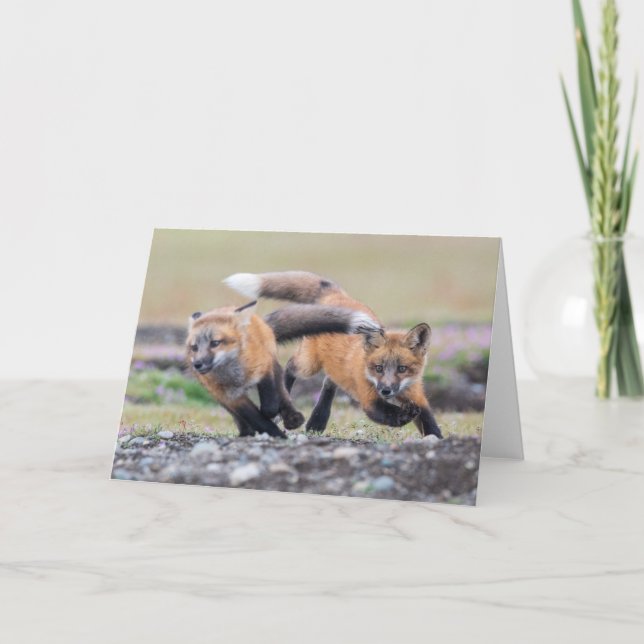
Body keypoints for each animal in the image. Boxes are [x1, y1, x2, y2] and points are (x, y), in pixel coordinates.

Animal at [187, 299, 380, 438]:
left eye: (215, 343)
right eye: (194, 347)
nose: (198, 364)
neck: (235, 374)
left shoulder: (264, 368)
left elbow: (270, 402)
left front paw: (273, 417)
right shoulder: (230, 397)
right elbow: (254, 417)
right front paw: (272, 433)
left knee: (285, 384)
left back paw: (293, 418)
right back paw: (247, 431)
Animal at [223, 271, 443, 438]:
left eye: (402, 368)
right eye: (378, 368)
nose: (386, 390)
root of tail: (338, 296)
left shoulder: (416, 395)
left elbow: (429, 423)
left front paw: (437, 440)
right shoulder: (369, 398)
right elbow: (386, 414)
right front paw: (403, 416)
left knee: (329, 383)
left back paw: (317, 421)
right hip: (308, 365)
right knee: (291, 367)